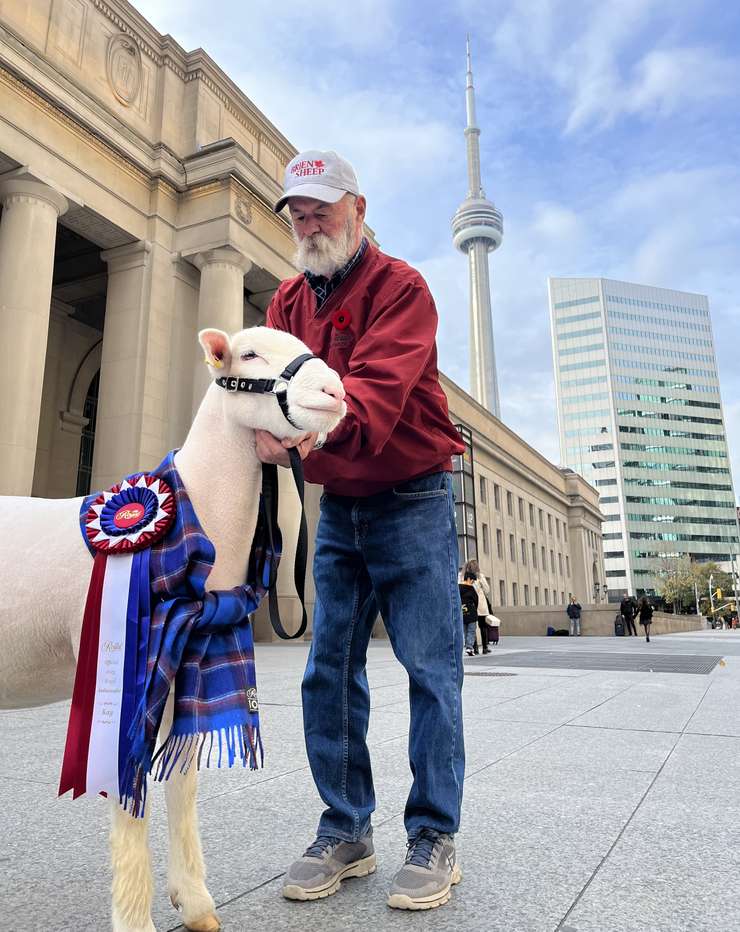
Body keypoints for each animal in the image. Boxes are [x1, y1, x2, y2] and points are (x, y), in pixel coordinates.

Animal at [0, 328, 346, 932]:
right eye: (248, 355)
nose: (336, 392)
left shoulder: (189, 654)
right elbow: (127, 788)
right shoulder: (127, 672)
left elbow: (182, 782)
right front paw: (136, 918)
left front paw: (196, 903)